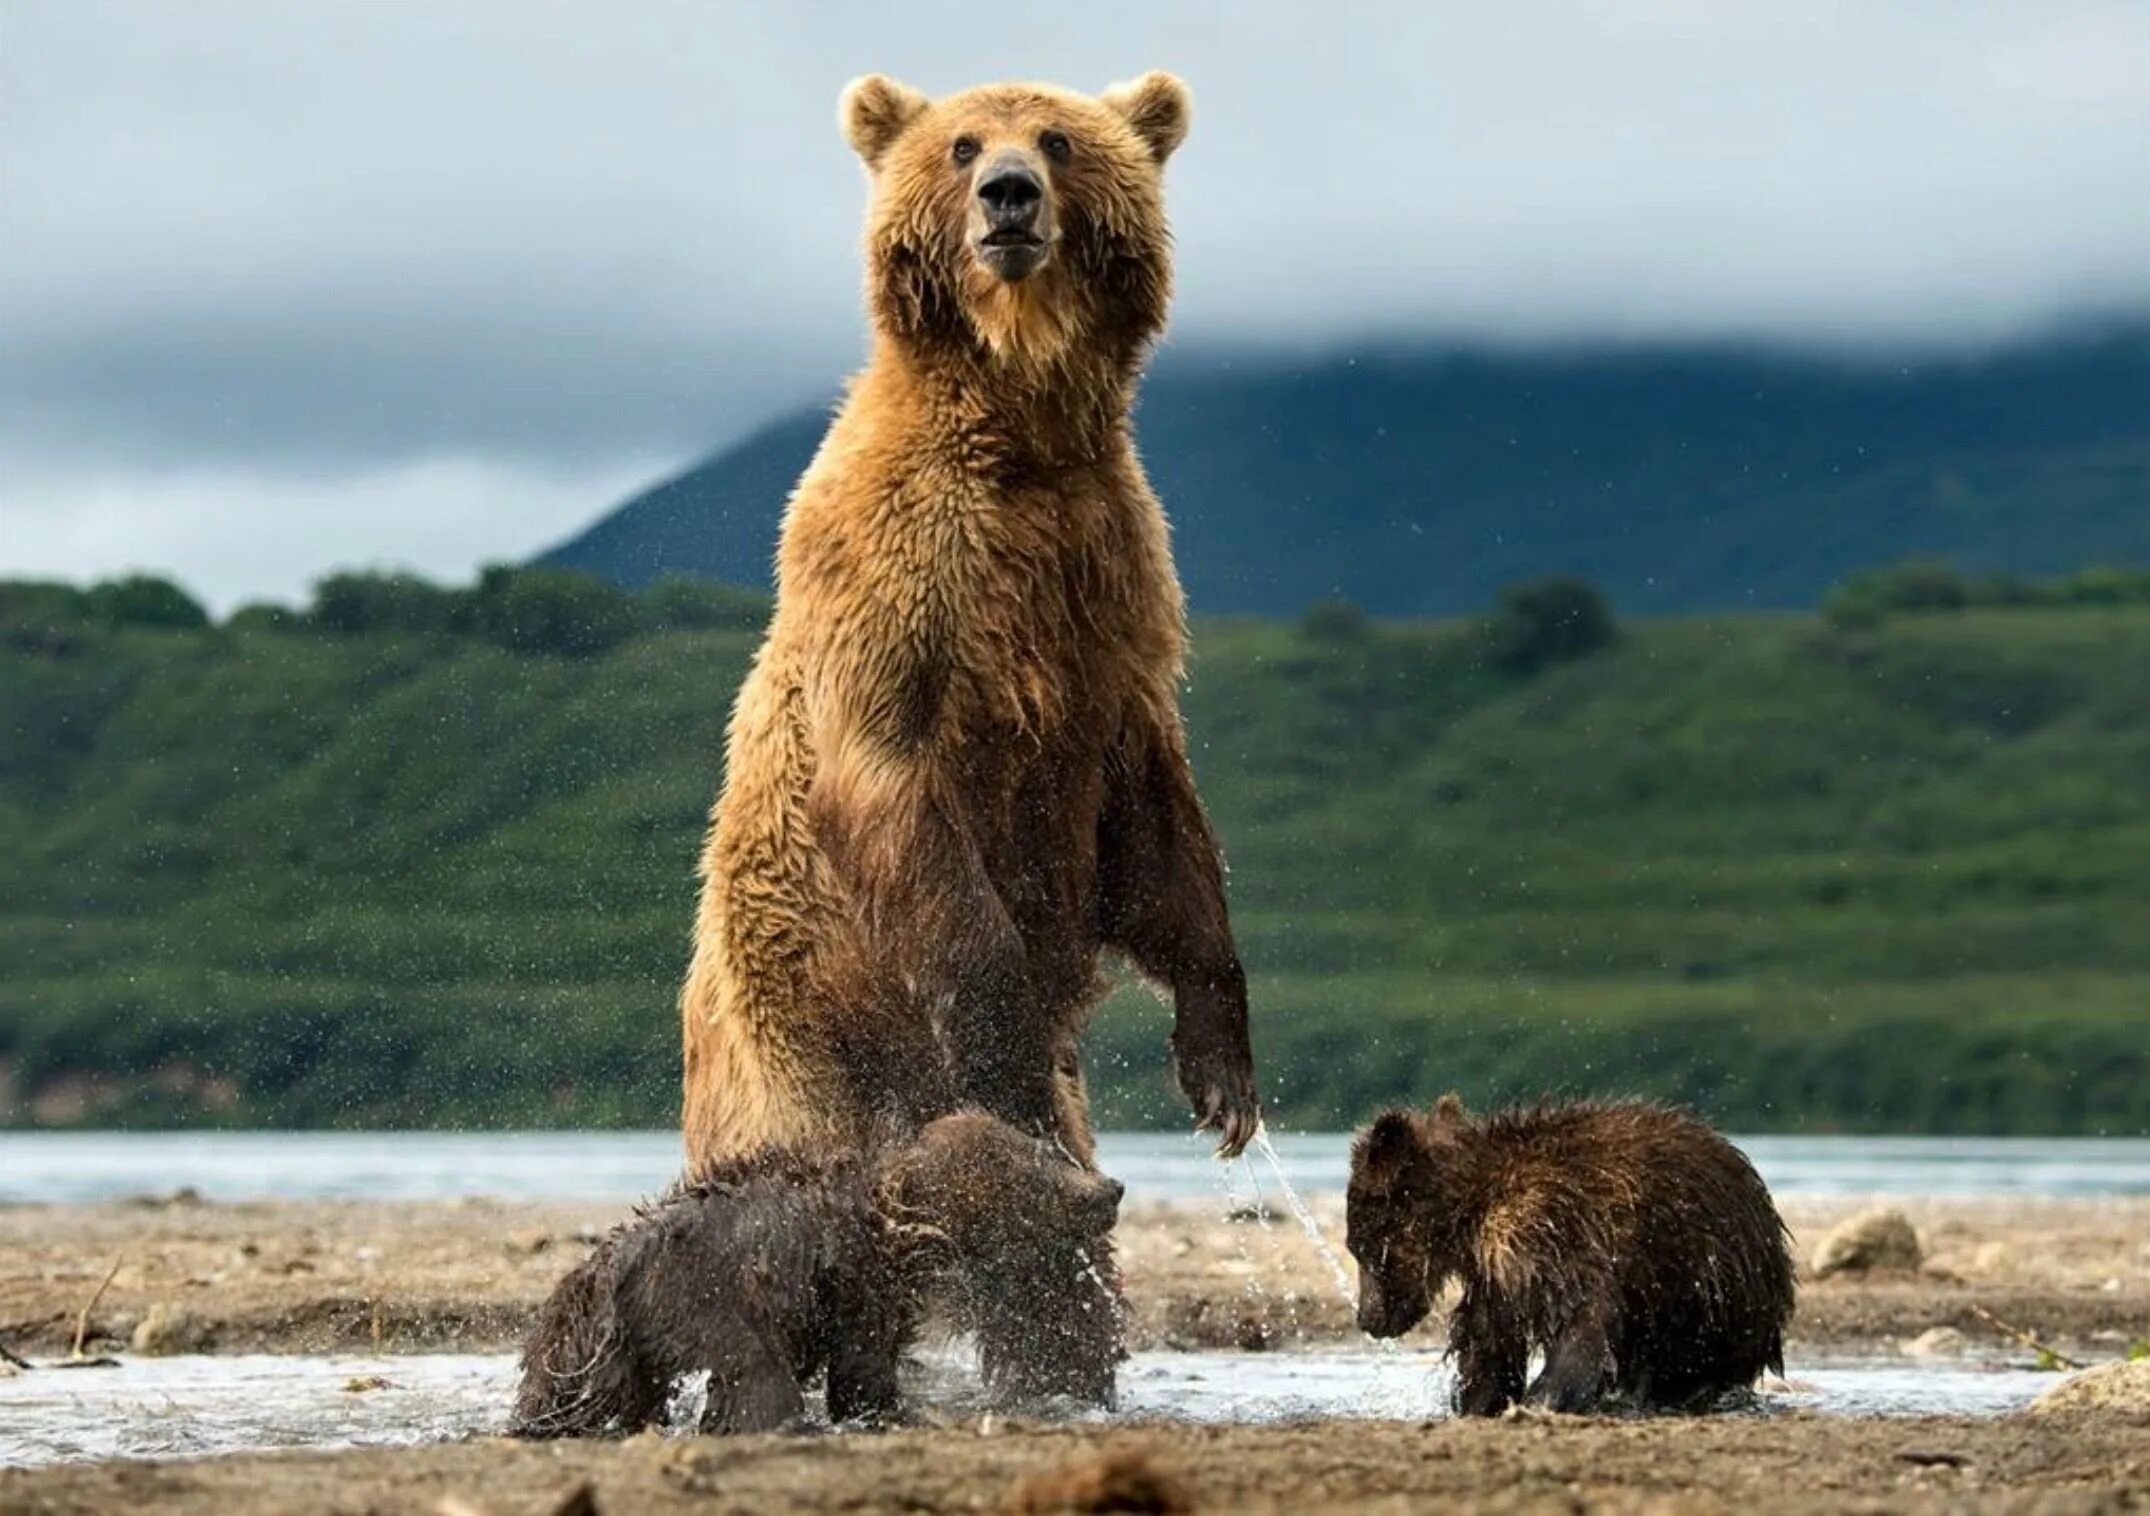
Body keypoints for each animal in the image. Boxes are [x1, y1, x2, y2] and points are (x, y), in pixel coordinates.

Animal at [675, 70, 1255, 1393]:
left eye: (1056, 140)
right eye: (958, 145)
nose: (1007, 195)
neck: (1018, 428)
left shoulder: (1109, 603)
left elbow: (1161, 828)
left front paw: (1221, 1074)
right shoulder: (900, 587)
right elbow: (902, 811)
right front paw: (995, 1027)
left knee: (1061, 1249)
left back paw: (1058, 1366)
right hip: (798, 1054)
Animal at [1350, 1092, 1788, 1410]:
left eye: (1358, 1246)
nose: (1367, 1318)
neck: (1469, 1207)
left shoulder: (1547, 1227)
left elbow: (1582, 1320)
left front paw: (1541, 1398)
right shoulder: (1495, 1267)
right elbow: (1489, 1338)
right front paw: (1477, 1399)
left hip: (1708, 1285)